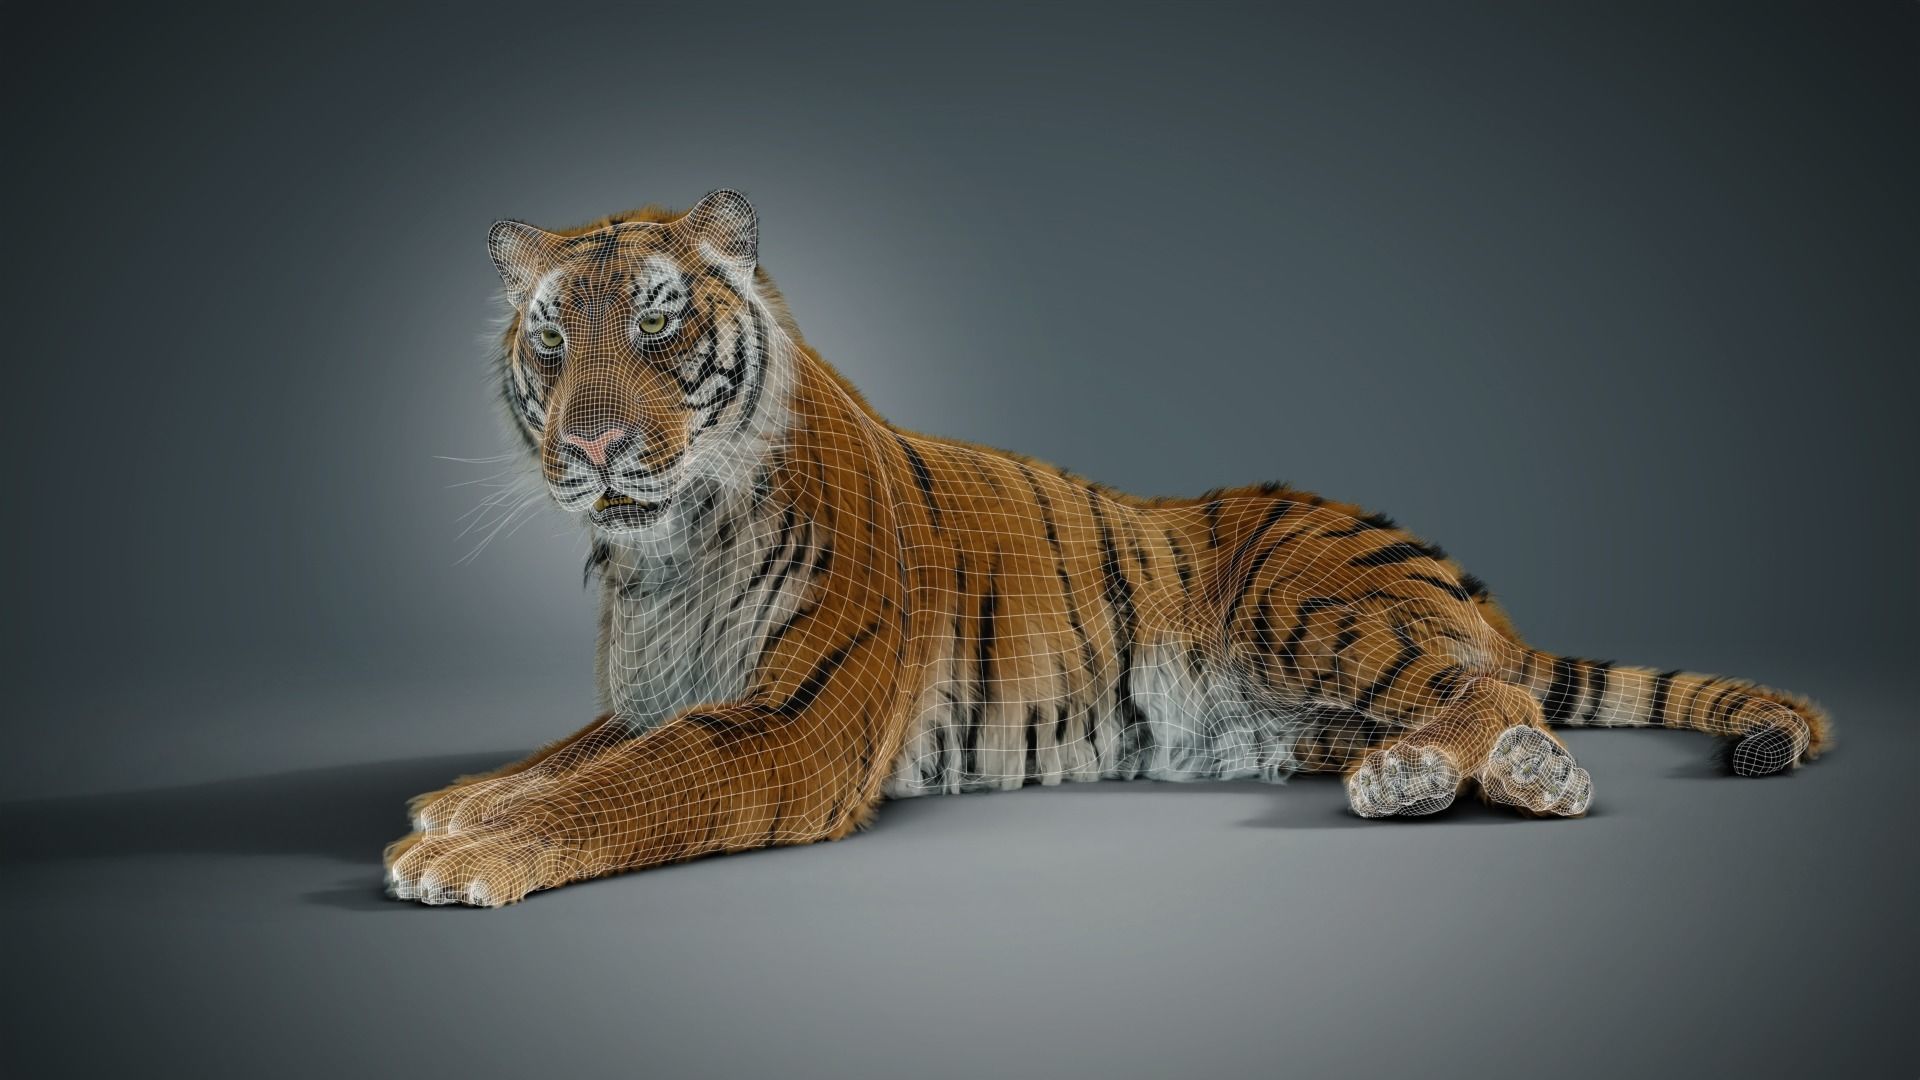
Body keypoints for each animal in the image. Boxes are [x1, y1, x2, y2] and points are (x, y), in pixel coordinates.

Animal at [384, 190, 1833, 906]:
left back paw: (1481, 771)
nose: (591, 450)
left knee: (1498, 687)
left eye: (662, 324)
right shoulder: (663, 691)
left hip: (1306, 604)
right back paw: (1441, 778)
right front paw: (464, 800)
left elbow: (628, 786)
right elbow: (575, 752)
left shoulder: (796, 721)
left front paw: (461, 855)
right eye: (552, 338)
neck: (666, 558)